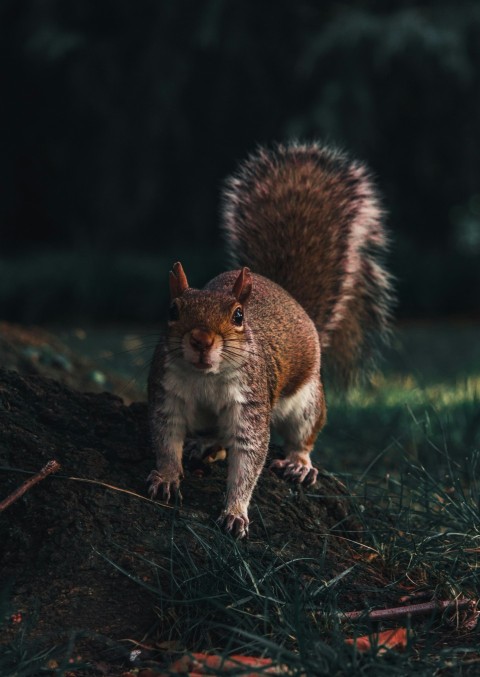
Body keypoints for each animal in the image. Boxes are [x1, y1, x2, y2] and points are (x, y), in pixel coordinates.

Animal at [147, 141, 393, 538]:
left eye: (238, 316)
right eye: (172, 310)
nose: (200, 339)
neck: (206, 377)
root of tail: (294, 303)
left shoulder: (252, 403)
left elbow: (249, 457)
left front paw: (235, 510)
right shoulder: (166, 392)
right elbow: (166, 438)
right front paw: (167, 477)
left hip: (307, 400)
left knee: (304, 434)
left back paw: (299, 463)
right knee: (217, 436)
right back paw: (207, 443)